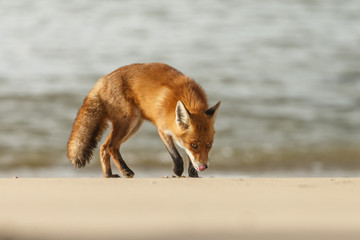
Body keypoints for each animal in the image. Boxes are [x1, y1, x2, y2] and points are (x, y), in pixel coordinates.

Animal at [66, 62, 221, 177]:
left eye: (209, 145)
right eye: (194, 145)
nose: (204, 167)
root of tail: (102, 79)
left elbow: (189, 158)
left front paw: (193, 175)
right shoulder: (163, 130)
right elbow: (176, 155)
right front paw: (177, 171)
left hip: (134, 126)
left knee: (104, 147)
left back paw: (109, 175)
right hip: (129, 122)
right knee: (110, 146)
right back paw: (125, 170)